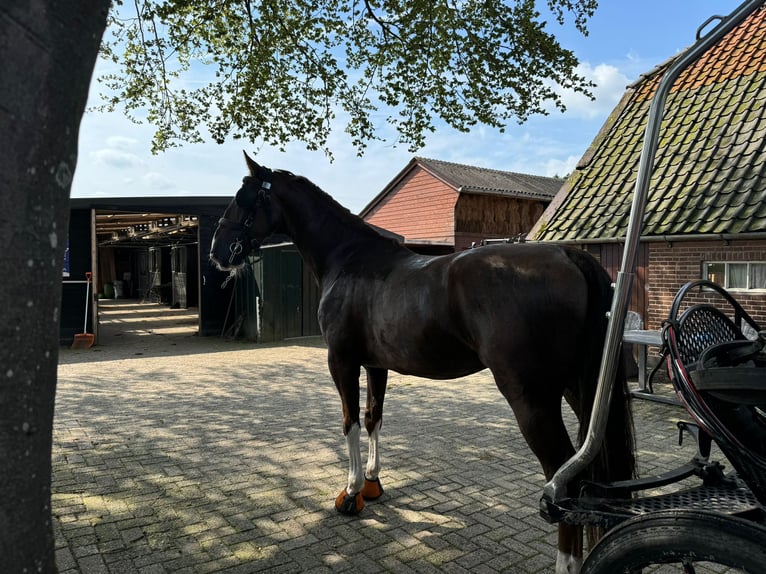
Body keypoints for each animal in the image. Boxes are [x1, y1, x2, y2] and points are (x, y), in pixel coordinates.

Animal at [208, 154, 636, 574]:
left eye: (242, 198)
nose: (217, 252)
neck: (351, 261)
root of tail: (567, 254)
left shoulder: (342, 361)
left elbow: (349, 422)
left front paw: (350, 492)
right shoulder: (376, 365)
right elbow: (373, 418)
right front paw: (372, 484)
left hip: (532, 398)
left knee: (563, 477)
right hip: (578, 388)